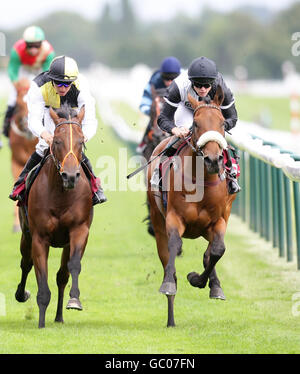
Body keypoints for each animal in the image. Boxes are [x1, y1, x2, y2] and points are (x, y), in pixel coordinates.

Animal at [14, 105, 94, 328]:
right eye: (57, 141)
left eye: (81, 140)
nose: (70, 176)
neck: (61, 194)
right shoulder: (39, 237)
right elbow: (40, 274)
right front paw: (41, 322)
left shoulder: (79, 231)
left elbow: (72, 267)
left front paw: (74, 300)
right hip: (26, 235)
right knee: (26, 263)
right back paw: (21, 294)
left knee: (62, 276)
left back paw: (59, 316)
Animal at [147, 86, 237, 326]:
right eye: (195, 124)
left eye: (222, 123)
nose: (213, 160)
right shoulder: (174, 218)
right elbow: (174, 249)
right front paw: (170, 284)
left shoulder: (218, 221)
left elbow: (217, 250)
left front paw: (201, 281)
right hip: (158, 221)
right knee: (167, 256)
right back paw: (171, 318)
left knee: (210, 252)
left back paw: (213, 284)